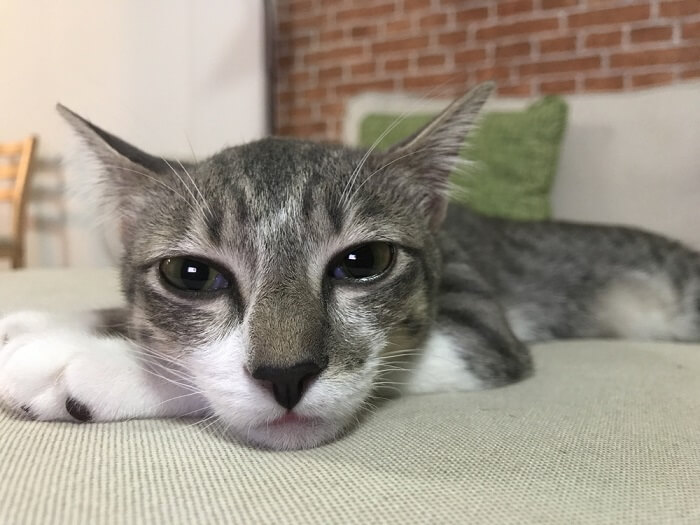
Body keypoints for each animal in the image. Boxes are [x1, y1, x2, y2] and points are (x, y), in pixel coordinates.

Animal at [1, 83, 700, 450]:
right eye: (192, 275)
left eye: (364, 262)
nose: (286, 375)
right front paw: (36, 325)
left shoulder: (485, 327)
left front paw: (88, 365)